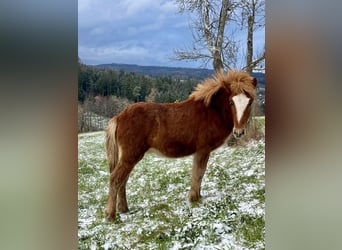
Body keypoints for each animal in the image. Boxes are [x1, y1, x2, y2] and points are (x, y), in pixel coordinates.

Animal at [104, 70, 256, 221]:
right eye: (231, 102)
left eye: (250, 102)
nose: (239, 132)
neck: (211, 111)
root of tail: (118, 117)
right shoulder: (203, 150)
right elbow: (198, 173)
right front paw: (194, 199)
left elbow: (198, 173)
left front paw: (197, 196)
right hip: (130, 156)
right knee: (115, 179)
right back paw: (111, 215)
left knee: (122, 180)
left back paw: (123, 209)